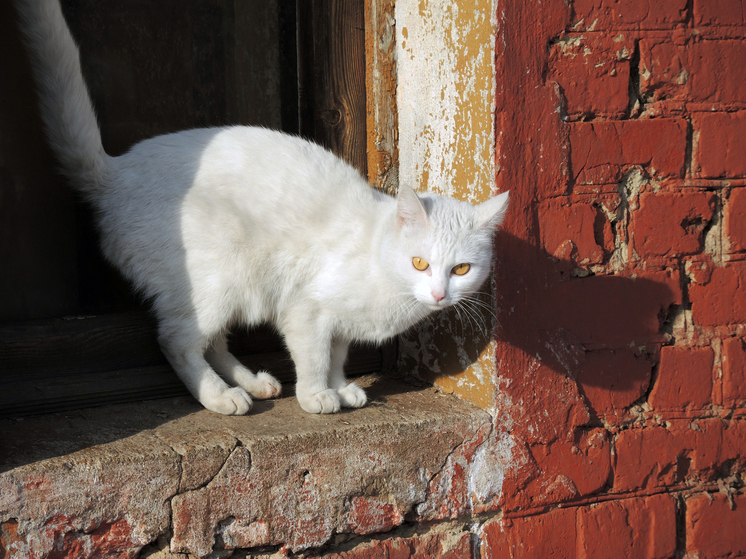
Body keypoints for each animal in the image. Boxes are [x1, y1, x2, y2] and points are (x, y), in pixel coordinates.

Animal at [17, 0, 508, 416]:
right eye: (419, 263)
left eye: (461, 269)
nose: (440, 295)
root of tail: (115, 172)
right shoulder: (307, 310)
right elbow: (314, 357)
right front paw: (318, 396)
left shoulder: (339, 325)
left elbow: (337, 355)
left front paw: (341, 387)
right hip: (217, 279)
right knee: (177, 340)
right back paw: (219, 397)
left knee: (211, 342)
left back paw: (253, 383)